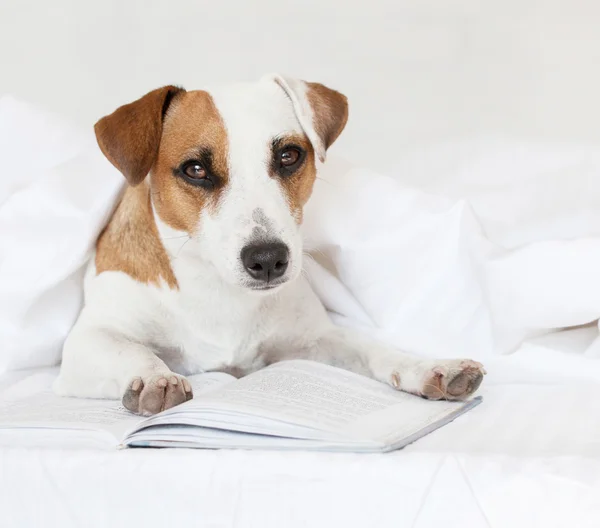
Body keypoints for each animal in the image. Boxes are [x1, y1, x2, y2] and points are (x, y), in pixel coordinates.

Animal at [54, 74, 486, 414]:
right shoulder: (86, 343)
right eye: (195, 169)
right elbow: (131, 350)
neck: (216, 289)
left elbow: (372, 348)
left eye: (289, 156)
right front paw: (154, 377)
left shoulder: (314, 340)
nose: (267, 259)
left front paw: (428, 367)